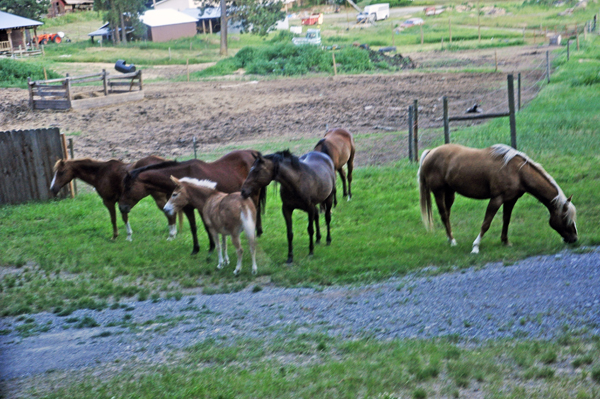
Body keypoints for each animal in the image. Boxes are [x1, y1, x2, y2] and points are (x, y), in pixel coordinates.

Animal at [49, 157, 178, 241]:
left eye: (61, 172)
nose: (52, 188)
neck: (100, 173)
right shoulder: (122, 202)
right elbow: (124, 217)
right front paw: (129, 236)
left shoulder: (109, 201)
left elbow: (114, 219)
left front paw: (116, 236)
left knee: (170, 214)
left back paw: (171, 235)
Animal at [118, 150, 264, 256]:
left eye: (128, 187)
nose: (121, 207)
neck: (184, 177)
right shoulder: (188, 208)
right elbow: (193, 227)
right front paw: (195, 249)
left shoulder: (202, 207)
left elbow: (206, 226)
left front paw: (211, 248)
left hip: (253, 194)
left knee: (255, 211)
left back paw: (257, 232)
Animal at [418, 145, 576, 255]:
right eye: (565, 218)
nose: (574, 239)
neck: (517, 171)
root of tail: (431, 152)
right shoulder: (496, 199)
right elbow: (486, 223)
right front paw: (475, 247)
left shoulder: (510, 200)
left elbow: (506, 220)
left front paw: (505, 241)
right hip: (438, 192)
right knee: (444, 215)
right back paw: (452, 241)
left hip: (450, 193)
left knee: (447, 215)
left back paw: (450, 238)